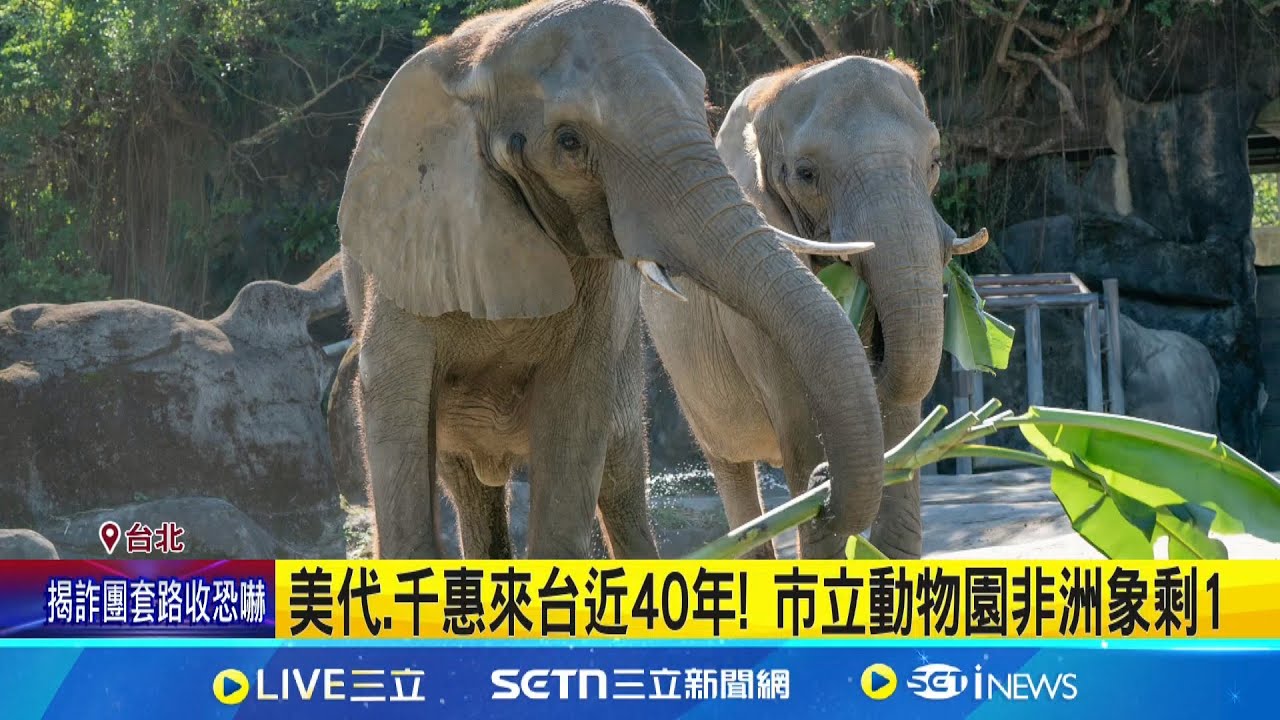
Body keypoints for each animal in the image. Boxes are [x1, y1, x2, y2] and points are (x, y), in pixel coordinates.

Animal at [337, 0, 885, 559]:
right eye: (569, 141)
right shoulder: (409, 250)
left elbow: (575, 412)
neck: (480, 60)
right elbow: (394, 398)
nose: (821, 485)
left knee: (619, 485)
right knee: (467, 484)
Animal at [643, 55, 988, 559]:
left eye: (935, 162)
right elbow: (805, 423)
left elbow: (905, 414)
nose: (823, 484)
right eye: (806, 174)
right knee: (732, 470)